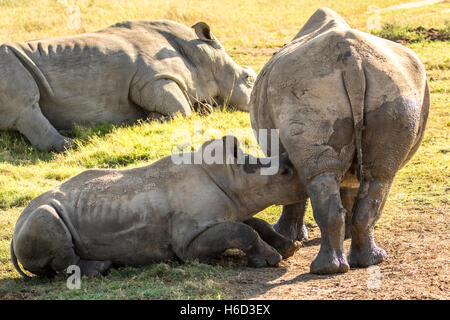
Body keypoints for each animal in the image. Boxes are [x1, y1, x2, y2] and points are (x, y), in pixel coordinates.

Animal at [0, 20, 255, 152]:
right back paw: (72, 144)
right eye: (248, 78)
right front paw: (149, 120)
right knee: (27, 106)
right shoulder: (152, 79)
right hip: (9, 67)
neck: (202, 56)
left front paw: (205, 109)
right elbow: (182, 110)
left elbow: (192, 106)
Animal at [12, 136, 304, 278]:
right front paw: (272, 260)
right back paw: (99, 270)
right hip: (38, 217)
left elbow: (252, 223)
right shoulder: (189, 243)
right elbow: (241, 230)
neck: (233, 177)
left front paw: (290, 248)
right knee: (47, 220)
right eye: (285, 173)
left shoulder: (230, 210)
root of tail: (14, 229)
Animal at [250, 9, 428, 276]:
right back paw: (367, 261)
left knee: (324, 176)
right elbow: (348, 188)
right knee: (379, 175)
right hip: (393, 89)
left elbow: (296, 193)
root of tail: (352, 60)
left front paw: (289, 236)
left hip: (305, 87)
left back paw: (325, 269)